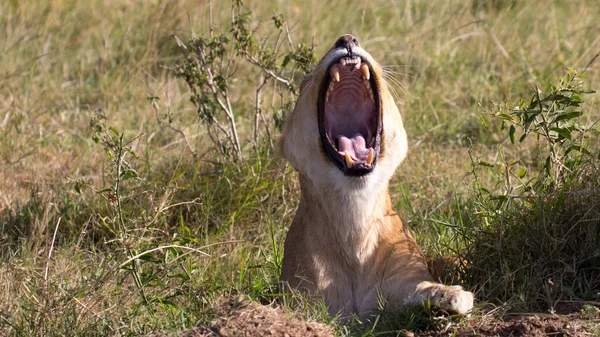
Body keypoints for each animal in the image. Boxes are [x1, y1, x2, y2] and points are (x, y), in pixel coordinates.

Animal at [280, 35, 474, 318]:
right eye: (305, 79)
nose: (347, 39)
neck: (354, 213)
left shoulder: (404, 280)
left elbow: (422, 287)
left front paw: (452, 295)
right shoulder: (297, 297)